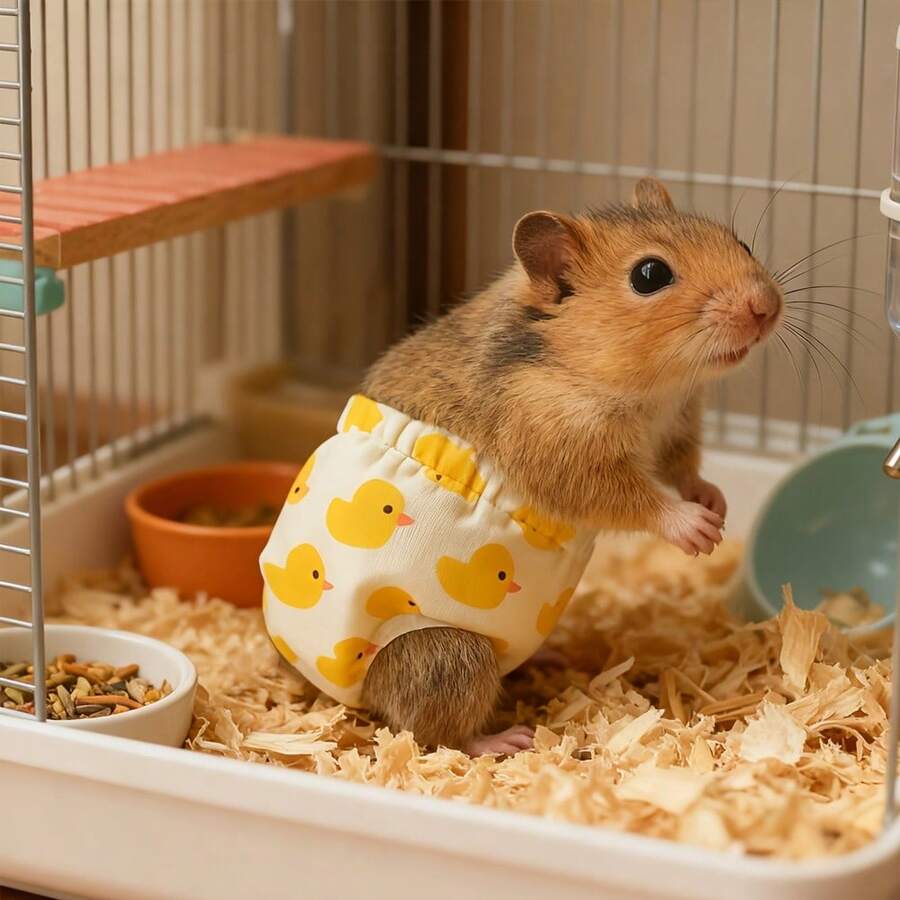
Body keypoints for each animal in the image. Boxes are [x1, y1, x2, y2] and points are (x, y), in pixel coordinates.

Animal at [360, 178, 782, 755]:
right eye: (650, 275)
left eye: (740, 243)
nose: (767, 307)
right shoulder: (567, 457)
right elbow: (635, 499)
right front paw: (700, 531)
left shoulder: (676, 429)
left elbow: (685, 471)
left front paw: (714, 502)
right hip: (449, 654)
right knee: (431, 730)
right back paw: (503, 741)